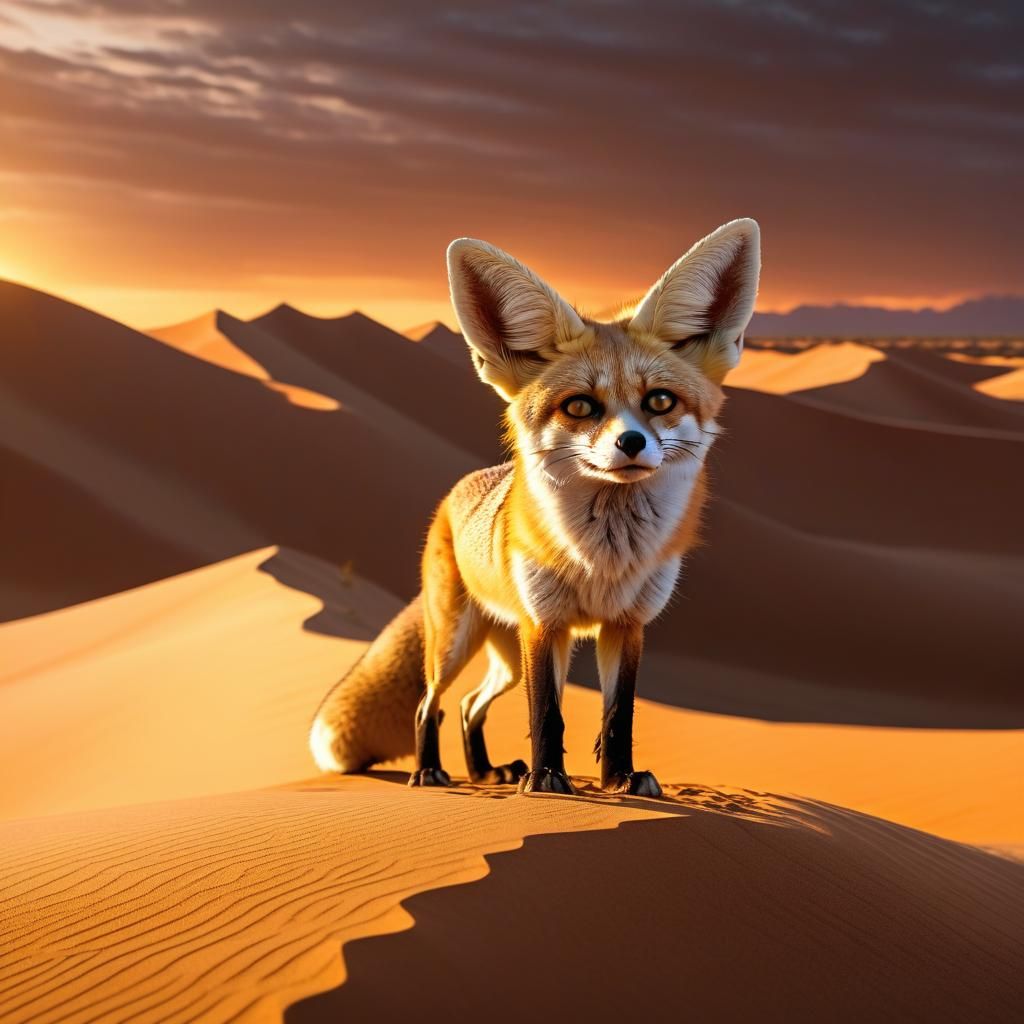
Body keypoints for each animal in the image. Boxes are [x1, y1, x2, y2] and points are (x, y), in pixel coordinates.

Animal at [310, 218, 761, 796]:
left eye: (660, 401)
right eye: (579, 406)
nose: (632, 443)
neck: (603, 561)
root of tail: (459, 489)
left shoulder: (626, 625)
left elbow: (618, 715)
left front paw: (620, 779)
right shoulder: (545, 623)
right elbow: (546, 712)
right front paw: (548, 781)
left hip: (506, 654)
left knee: (469, 705)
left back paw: (486, 771)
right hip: (457, 641)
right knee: (429, 705)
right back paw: (430, 771)